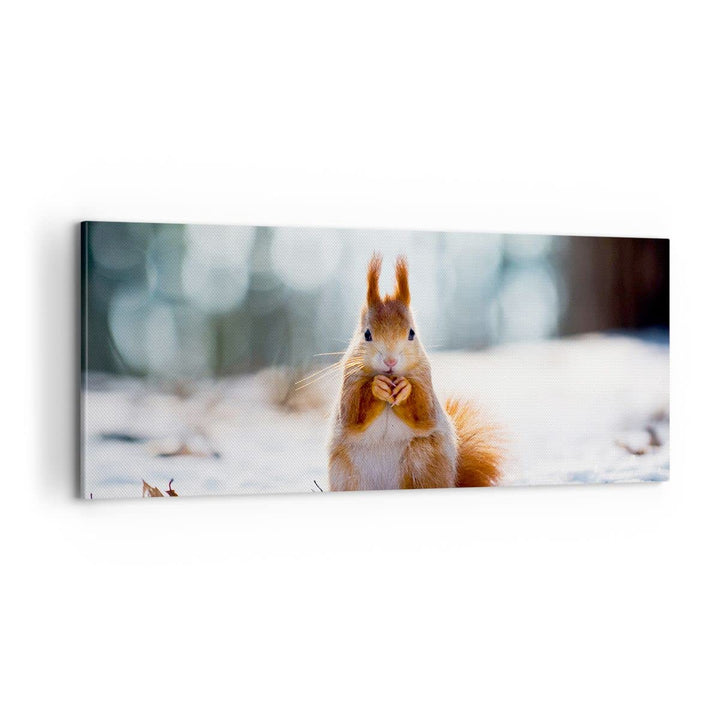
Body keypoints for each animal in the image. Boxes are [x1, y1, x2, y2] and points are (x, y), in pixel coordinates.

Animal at [328, 253, 502, 491]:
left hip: (423, 461)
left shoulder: (425, 380)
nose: (390, 361)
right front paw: (376, 387)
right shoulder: (350, 381)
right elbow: (352, 413)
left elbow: (424, 412)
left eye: (411, 333)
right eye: (367, 334)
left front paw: (405, 389)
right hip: (347, 475)